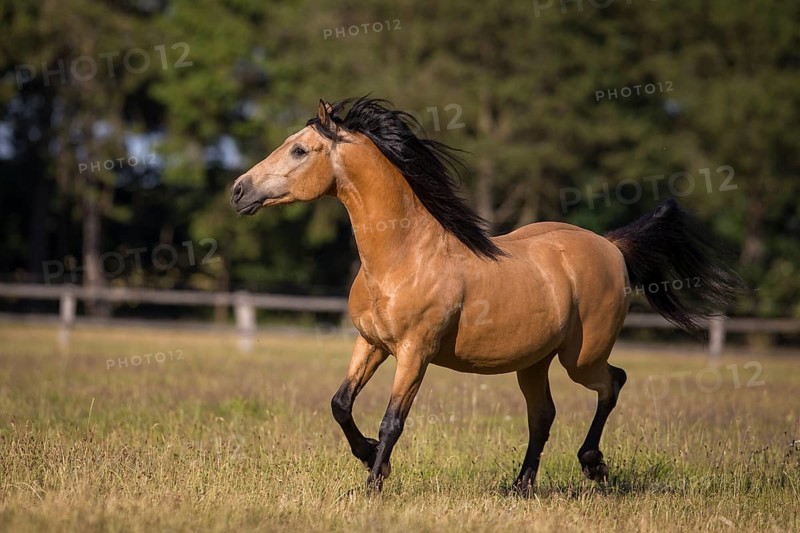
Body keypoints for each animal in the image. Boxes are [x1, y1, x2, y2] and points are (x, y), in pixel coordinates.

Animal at [230, 97, 744, 493]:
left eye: (299, 149)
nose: (238, 191)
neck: (403, 255)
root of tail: (611, 246)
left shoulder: (414, 352)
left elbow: (392, 420)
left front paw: (373, 484)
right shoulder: (372, 343)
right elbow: (340, 404)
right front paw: (370, 456)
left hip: (581, 358)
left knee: (612, 382)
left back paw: (593, 465)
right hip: (534, 362)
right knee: (544, 415)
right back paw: (521, 486)